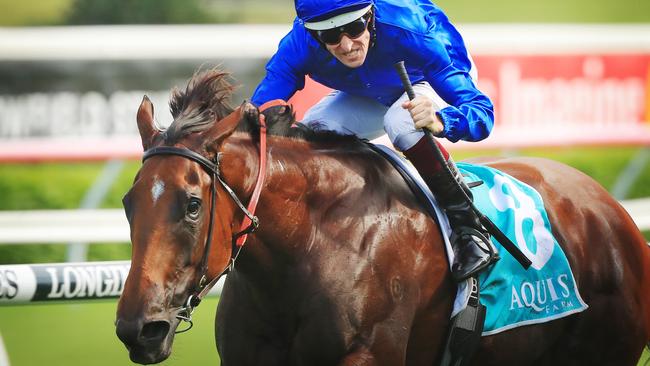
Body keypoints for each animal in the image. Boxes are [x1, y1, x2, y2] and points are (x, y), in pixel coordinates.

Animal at [115, 69, 648, 366]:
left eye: (192, 204)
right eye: (128, 203)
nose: (138, 329)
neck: (311, 245)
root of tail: (612, 213)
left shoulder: (369, 354)